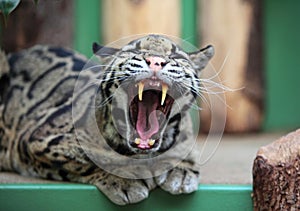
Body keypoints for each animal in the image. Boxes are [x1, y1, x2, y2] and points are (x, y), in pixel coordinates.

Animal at [0, 34, 213, 204]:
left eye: (177, 57)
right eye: (134, 51)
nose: (155, 61)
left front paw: (182, 169)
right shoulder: (37, 138)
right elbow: (88, 157)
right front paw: (126, 177)